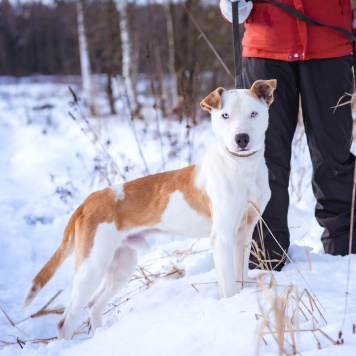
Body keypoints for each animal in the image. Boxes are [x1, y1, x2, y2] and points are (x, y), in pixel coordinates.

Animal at [22, 80, 276, 340]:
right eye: (225, 115)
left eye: (253, 113)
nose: (241, 138)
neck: (241, 166)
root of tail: (86, 202)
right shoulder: (222, 237)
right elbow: (229, 284)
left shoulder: (243, 233)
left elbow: (240, 276)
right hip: (92, 265)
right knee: (66, 321)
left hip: (121, 264)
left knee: (94, 304)